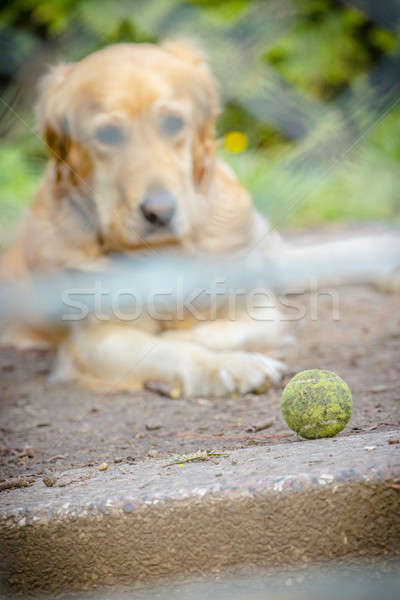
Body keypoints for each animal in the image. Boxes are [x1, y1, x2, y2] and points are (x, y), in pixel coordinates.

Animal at [0, 41, 306, 398]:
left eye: (173, 123)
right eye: (107, 134)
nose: (159, 211)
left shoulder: (259, 310)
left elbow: (220, 329)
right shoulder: (98, 339)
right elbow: (166, 347)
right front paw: (234, 366)